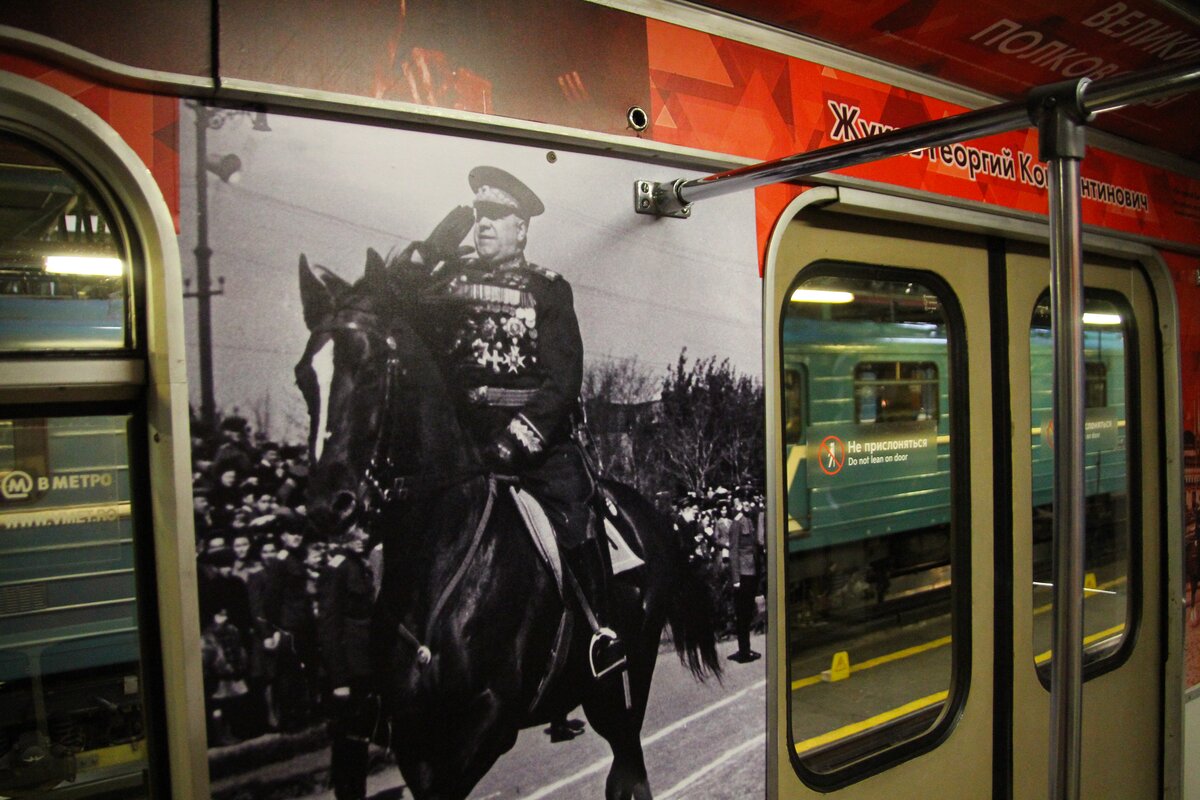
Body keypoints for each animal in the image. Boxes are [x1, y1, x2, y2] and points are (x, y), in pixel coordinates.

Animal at [295, 248, 721, 800]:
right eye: (304, 377)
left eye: (368, 369)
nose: (330, 504)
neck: (440, 563)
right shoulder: (414, 734)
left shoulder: (489, 718)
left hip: (624, 676)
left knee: (629, 761)